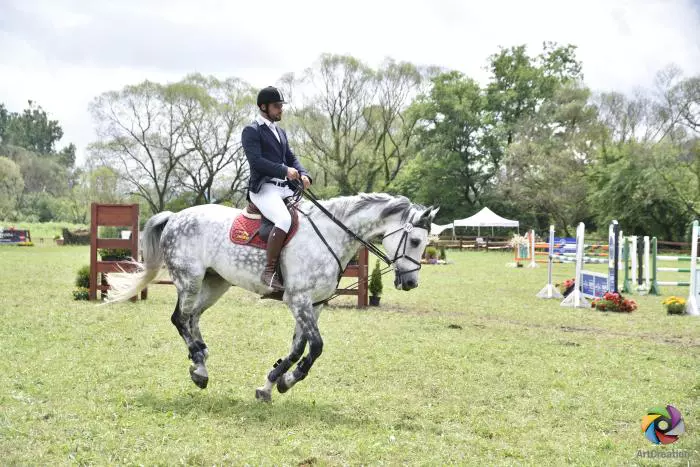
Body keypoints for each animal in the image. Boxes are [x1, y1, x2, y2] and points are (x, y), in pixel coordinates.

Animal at [104, 192, 438, 402]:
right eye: (416, 240)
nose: (411, 282)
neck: (331, 236)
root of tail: (175, 217)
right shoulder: (299, 300)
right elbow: (316, 346)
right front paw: (288, 380)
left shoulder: (314, 305)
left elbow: (298, 347)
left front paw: (271, 382)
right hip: (190, 280)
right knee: (179, 318)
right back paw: (199, 368)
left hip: (215, 283)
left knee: (192, 318)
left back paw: (201, 357)